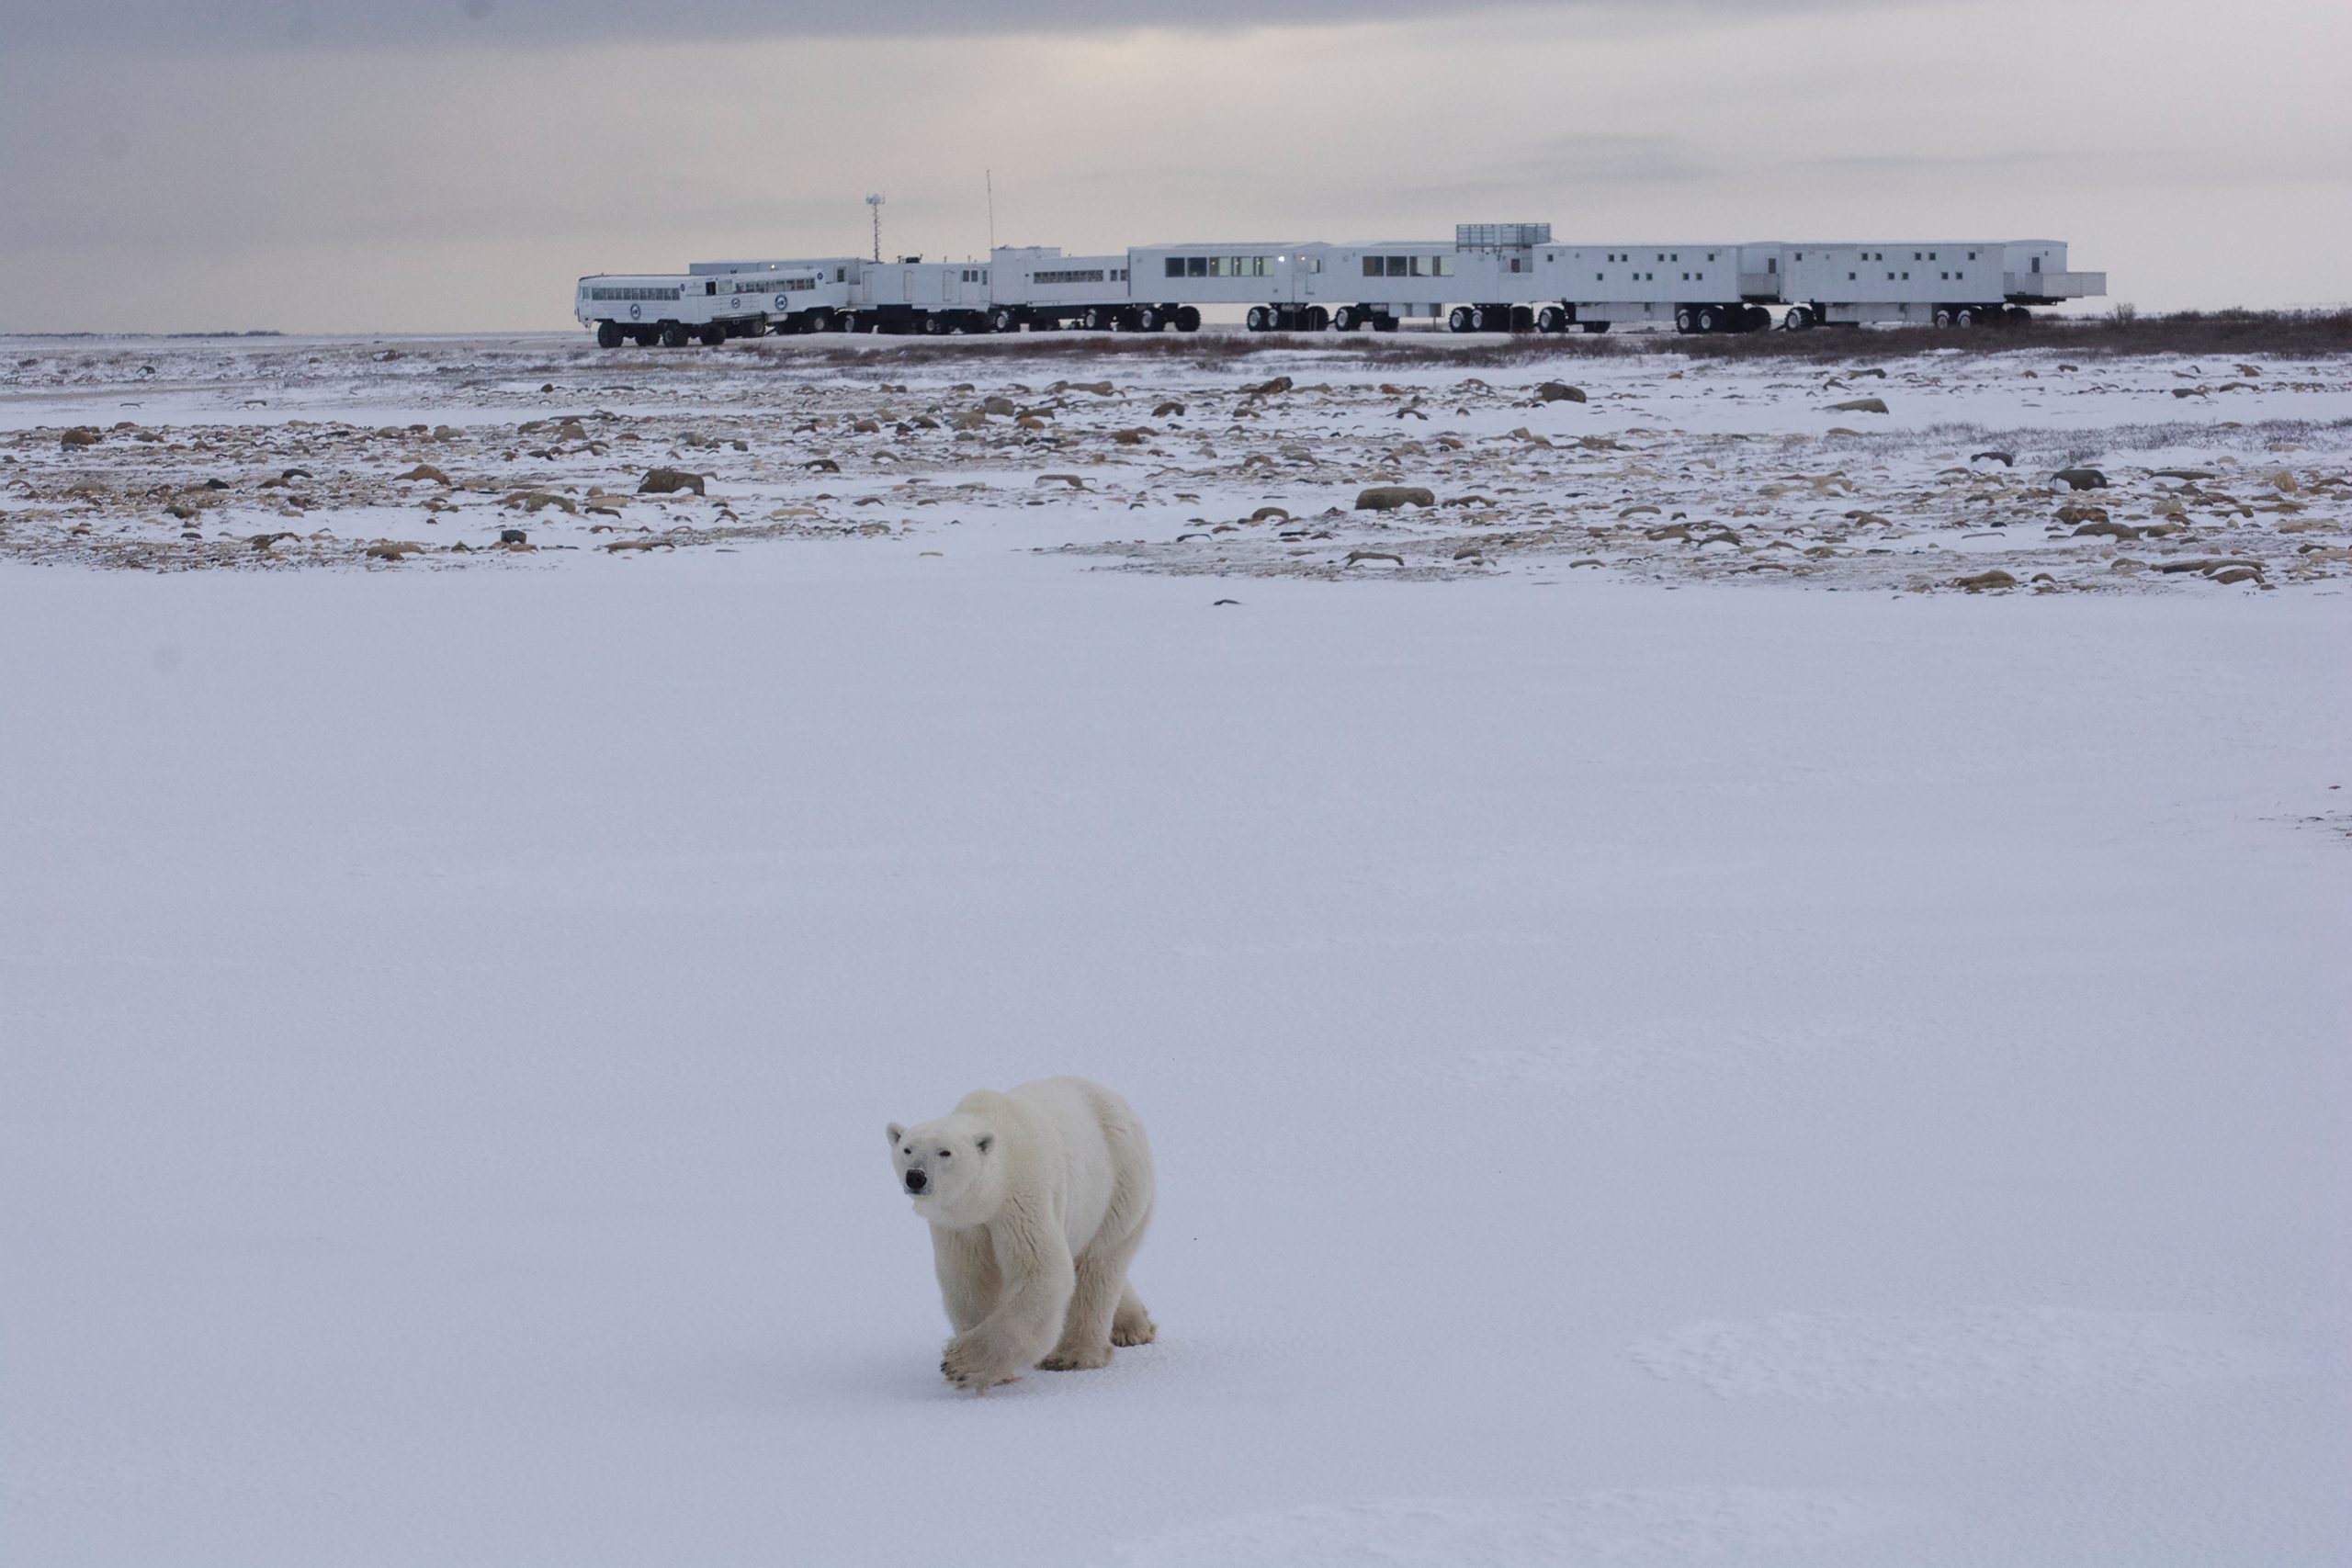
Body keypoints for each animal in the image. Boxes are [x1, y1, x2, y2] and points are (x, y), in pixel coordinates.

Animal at [887, 1076, 1156, 1394]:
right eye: (907, 1149)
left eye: (945, 1152)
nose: (916, 1176)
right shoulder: (961, 1224)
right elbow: (968, 1278)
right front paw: (994, 1372)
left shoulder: (1023, 1197)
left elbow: (1041, 1272)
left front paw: (962, 1363)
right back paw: (1133, 1327)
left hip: (1119, 1187)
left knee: (1099, 1265)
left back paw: (1073, 1355)